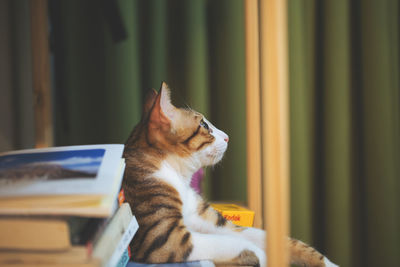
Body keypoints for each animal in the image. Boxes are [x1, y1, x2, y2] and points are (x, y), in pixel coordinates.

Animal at [121, 82, 338, 266]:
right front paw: (262, 256)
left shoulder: (208, 219)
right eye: (204, 126)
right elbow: (235, 243)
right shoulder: (164, 237)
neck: (179, 177)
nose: (227, 136)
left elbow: (277, 239)